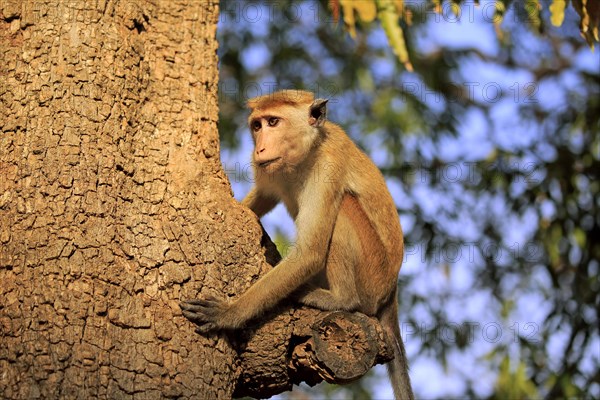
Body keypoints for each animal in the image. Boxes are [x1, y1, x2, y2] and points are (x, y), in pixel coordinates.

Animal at [178, 90, 412, 400]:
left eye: (273, 122)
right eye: (257, 125)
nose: (260, 148)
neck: (306, 154)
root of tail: (391, 292)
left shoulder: (328, 167)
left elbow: (309, 253)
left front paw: (229, 313)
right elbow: (262, 198)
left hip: (372, 276)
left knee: (344, 207)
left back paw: (341, 298)